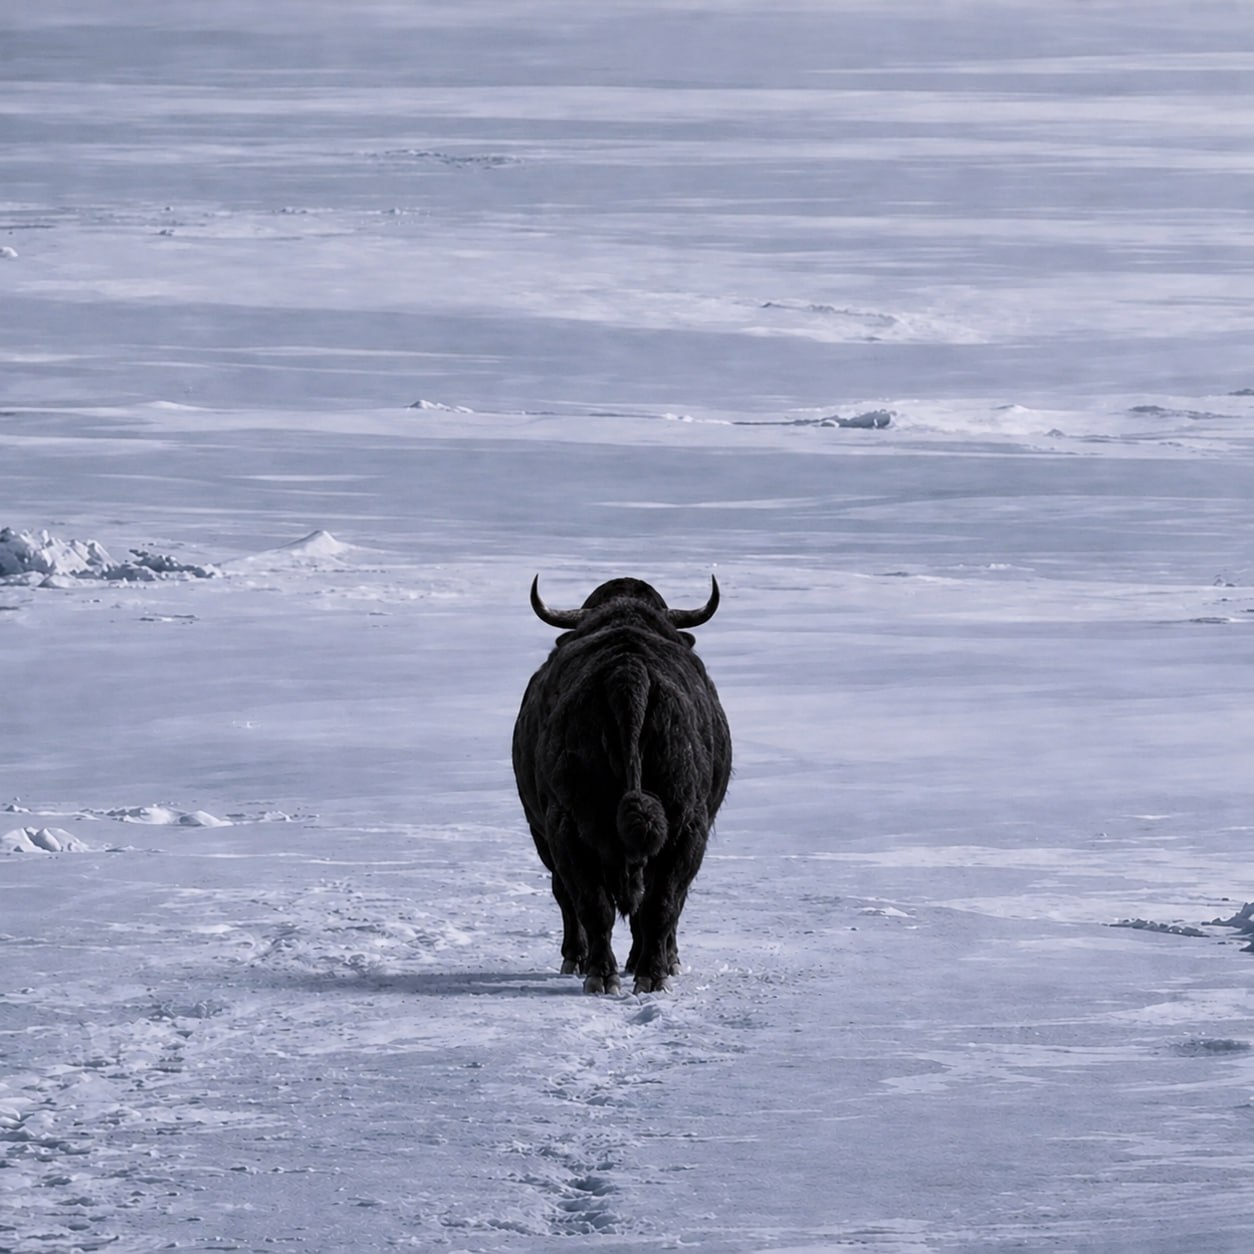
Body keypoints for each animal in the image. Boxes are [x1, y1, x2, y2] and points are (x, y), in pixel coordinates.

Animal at [512, 575, 732, 994]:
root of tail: (628, 673)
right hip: (682, 824)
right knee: (651, 901)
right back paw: (641, 973)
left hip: (571, 825)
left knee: (606, 902)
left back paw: (613, 971)